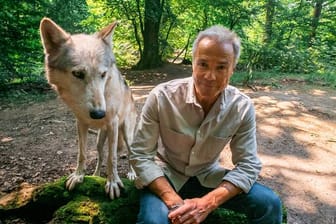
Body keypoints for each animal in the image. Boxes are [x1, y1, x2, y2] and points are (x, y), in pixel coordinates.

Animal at [40, 18, 137, 200]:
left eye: (103, 74)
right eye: (78, 74)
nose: (99, 114)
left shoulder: (113, 124)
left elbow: (113, 158)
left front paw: (113, 182)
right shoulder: (81, 123)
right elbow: (82, 153)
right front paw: (79, 176)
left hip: (126, 135)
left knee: (129, 155)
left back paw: (132, 174)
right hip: (100, 139)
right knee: (100, 155)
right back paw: (96, 175)